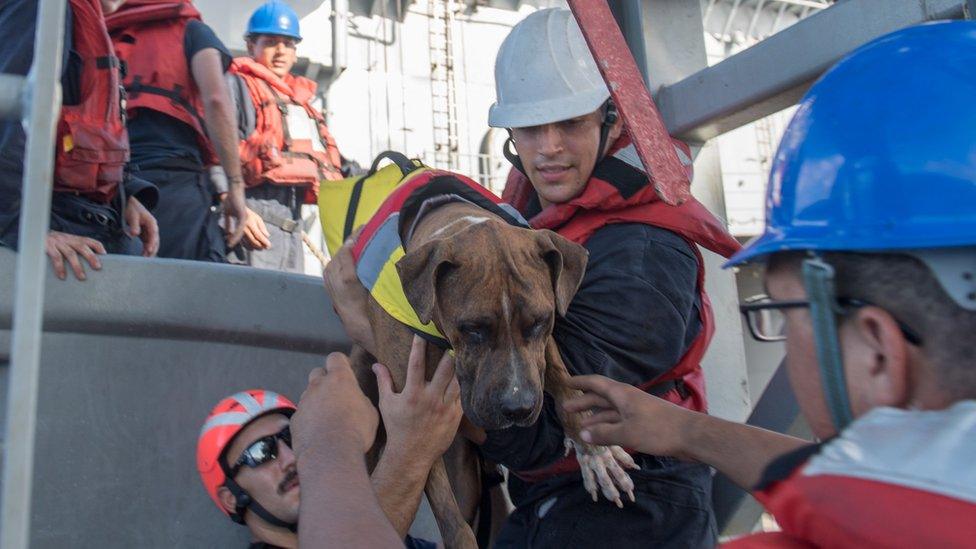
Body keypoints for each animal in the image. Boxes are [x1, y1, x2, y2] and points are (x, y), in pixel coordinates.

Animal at [346, 196, 636, 544]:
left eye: (540, 321)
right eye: (472, 329)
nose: (517, 408)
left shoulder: (543, 347)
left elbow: (565, 384)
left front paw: (595, 452)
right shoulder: (411, 415)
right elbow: (448, 513)